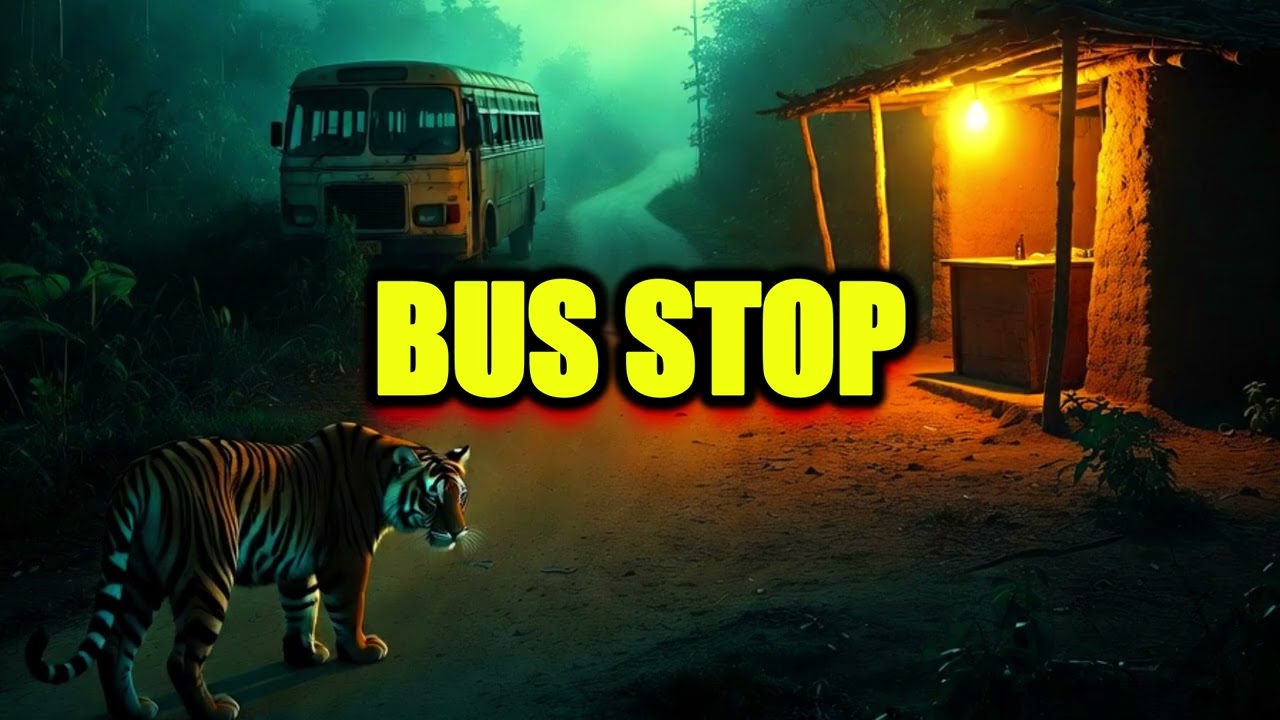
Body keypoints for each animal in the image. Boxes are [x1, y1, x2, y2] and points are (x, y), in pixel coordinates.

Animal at [23, 422, 472, 720]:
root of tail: (139, 470)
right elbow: (347, 609)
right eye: (433, 500)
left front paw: (304, 655)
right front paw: (360, 651)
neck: (379, 477)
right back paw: (214, 711)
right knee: (181, 659)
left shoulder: (297, 563)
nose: (458, 530)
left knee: (115, 647)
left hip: (138, 578)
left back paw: (133, 711)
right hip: (207, 572)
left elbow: (302, 608)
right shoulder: (347, 558)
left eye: (461, 497)